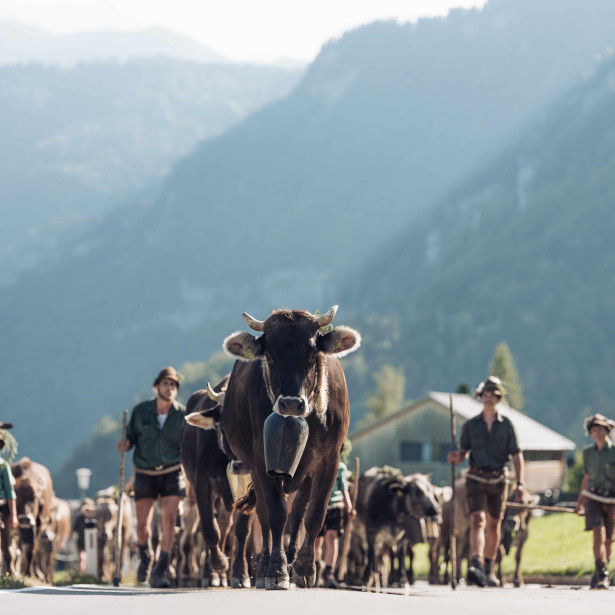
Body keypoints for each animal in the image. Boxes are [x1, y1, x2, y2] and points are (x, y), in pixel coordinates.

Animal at [221, 306, 360, 588]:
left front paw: (305, 568)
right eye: (270, 356)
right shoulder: (262, 459)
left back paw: (294, 562)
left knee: (297, 514)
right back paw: (265, 567)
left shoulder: (329, 460)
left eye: (312, 354)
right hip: (254, 468)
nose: (291, 404)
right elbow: (275, 514)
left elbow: (313, 515)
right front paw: (276, 571)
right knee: (264, 515)